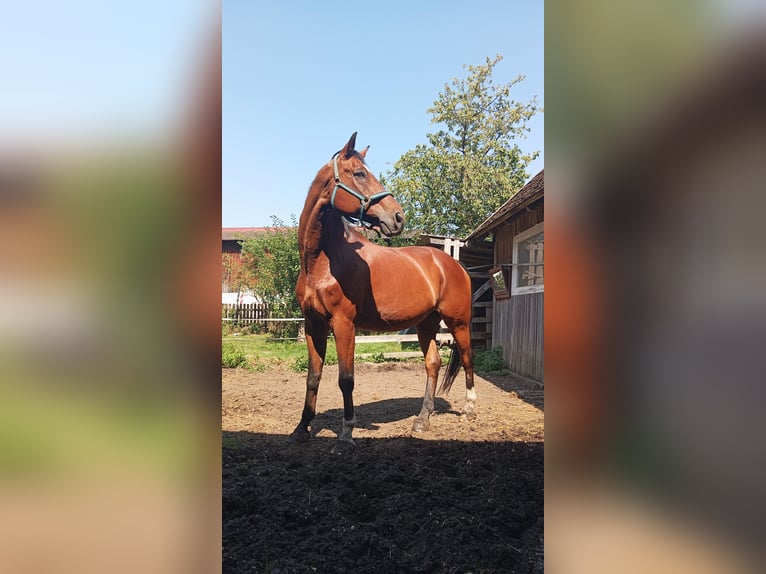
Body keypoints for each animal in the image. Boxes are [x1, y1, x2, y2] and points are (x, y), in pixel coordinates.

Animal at [292, 132, 476, 454]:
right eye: (360, 174)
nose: (398, 217)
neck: (321, 262)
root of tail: (452, 263)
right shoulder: (314, 324)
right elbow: (313, 376)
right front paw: (302, 428)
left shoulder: (344, 324)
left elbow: (346, 379)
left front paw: (346, 435)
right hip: (426, 324)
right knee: (433, 364)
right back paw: (422, 420)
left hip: (458, 323)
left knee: (466, 358)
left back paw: (468, 410)